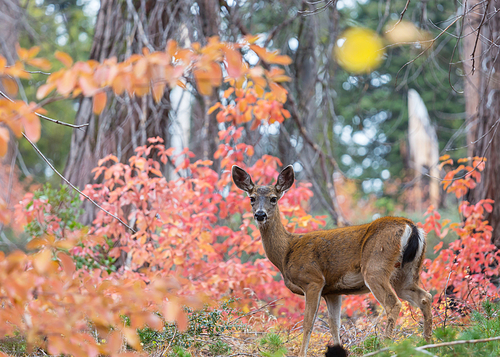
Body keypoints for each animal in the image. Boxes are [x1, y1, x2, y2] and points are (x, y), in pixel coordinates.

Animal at [232, 165, 432, 356]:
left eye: (273, 198)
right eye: (252, 198)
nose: (260, 214)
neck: (286, 251)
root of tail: (411, 226)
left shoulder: (313, 280)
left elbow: (308, 323)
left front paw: (302, 353)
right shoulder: (333, 291)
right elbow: (334, 325)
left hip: (376, 266)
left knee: (393, 303)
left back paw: (385, 347)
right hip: (406, 272)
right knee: (425, 297)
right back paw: (428, 343)